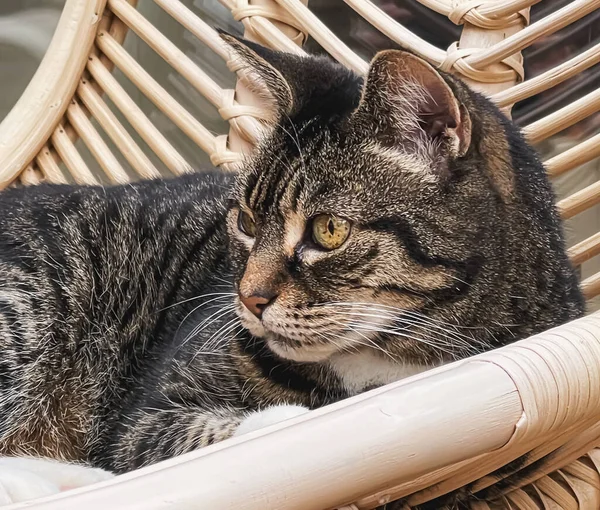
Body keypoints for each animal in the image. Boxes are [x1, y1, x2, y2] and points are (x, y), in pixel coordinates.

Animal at [0, 34, 584, 502]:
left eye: (328, 230)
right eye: (245, 220)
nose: (248, 297)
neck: (383, 363)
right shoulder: (142, 418)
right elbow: (190, 440)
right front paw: (286, 422)